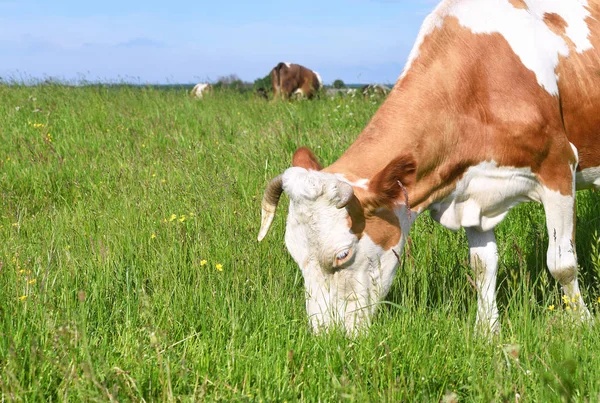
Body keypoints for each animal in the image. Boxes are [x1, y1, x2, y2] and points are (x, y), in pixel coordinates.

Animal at [258, 0, 600, 336]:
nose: (326, 336)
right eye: (294, 253)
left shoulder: (558, 168)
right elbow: (482, 266)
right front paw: (487, 332)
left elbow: (561, 264)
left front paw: (582, 323)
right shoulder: (470, 190)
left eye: (342, 255)